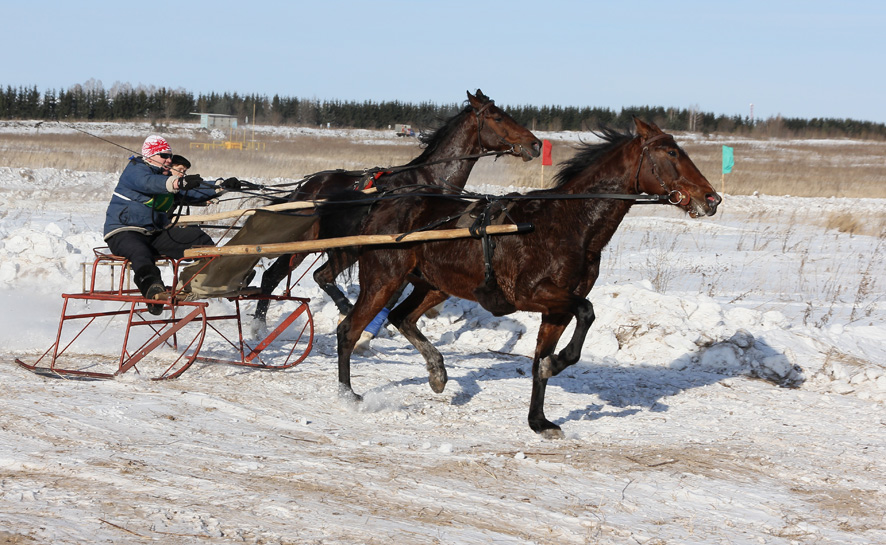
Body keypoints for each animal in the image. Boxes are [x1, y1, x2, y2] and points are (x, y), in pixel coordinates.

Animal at [322, 118, 724, 438]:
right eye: (671, 153)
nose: (712, 198)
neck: (567, 223)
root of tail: (381, 204)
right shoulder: (531, 293)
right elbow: (587, 311)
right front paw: (556, 363)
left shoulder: (555, 309)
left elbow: (540, 361)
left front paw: (539, 420)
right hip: (384, 279)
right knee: (349, 330)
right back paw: (347, 394)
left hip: (434, 285)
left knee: (400, 317)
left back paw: (437, 371)